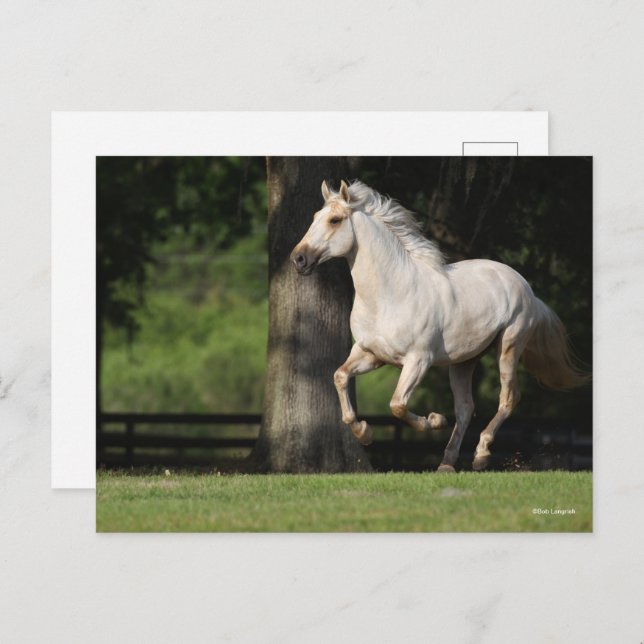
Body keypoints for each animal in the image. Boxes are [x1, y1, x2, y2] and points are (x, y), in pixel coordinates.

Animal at [290, 179, 589, 472]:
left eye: (335, 220)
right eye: (315, 217)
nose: (298, 259)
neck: (390, 295)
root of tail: (527, 288)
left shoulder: (418, 360)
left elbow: (397, 405)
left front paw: (434, 420)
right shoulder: (370, 354)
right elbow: (339, 377)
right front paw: (364, 433)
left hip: (508, 348)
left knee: (508, 398)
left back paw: (480, 455)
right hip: (464, 361)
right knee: (466, 408)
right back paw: (446, 463)